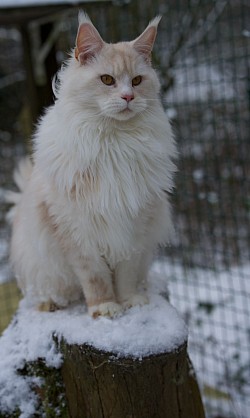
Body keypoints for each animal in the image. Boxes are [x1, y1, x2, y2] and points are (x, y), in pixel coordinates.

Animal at [7, 13, 176, 318]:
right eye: (107, 80)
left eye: (137, 81)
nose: (128, 97)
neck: (114, 143)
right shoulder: (76, 232)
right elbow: (96, 278)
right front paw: (105, 308)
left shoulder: (134, 229)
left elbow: (126, 275)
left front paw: (130, 301)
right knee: (46, 293)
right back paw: (51, 304)